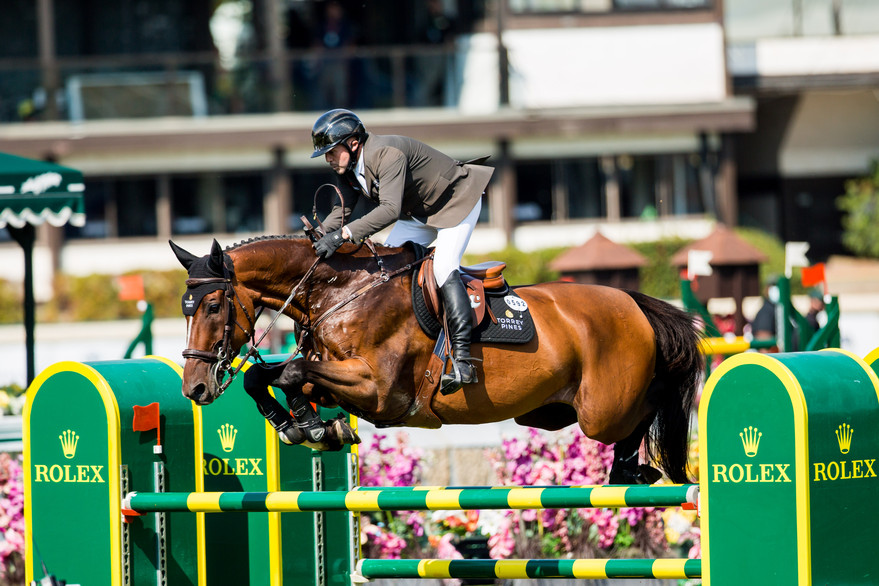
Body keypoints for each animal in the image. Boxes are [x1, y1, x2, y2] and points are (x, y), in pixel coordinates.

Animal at [172, 235, 704, 482]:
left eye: (214, 306)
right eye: (185, 308)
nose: (195, 387)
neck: (340, 293)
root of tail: (634, 302)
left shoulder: (380, 391)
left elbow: (293, 373)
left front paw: (310, 426)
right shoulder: (341, 377)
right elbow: (270, 377)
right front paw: (310, 426)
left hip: (602, 410)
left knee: (647, 409)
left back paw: (636, 470)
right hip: (552, 412)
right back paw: (628, 471)